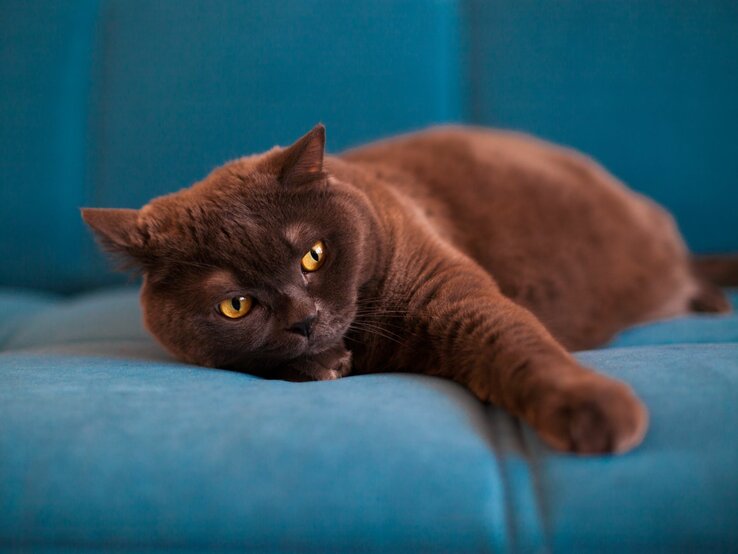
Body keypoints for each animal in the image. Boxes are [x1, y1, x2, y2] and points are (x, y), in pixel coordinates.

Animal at [80, 124, 732, 452]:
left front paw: (594, 410)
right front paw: (321, 364)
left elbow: (515, 340)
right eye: (235, 304)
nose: (304, 318)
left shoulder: (451, 291)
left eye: (313, 256)